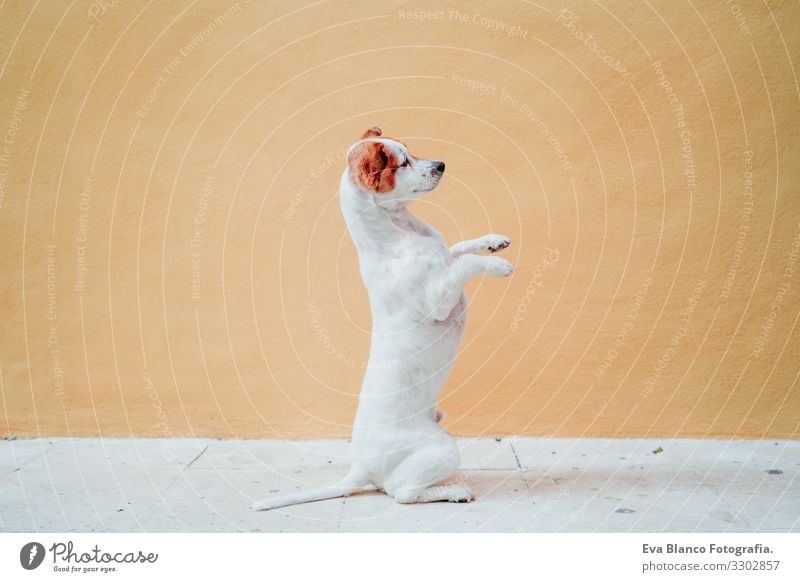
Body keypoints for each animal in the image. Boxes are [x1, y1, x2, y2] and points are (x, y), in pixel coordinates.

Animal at [253, 128, 516, 512]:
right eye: (402, 162)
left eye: (411, 151)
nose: (441, 164)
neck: (400, 230)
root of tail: (361, 467)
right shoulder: (438, 299)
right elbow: (466, 262)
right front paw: (497, 265)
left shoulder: (443, 258)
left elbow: (459, 248)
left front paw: (494, 242)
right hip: (442, 448)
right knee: (402, 494)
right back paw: (454, 490)